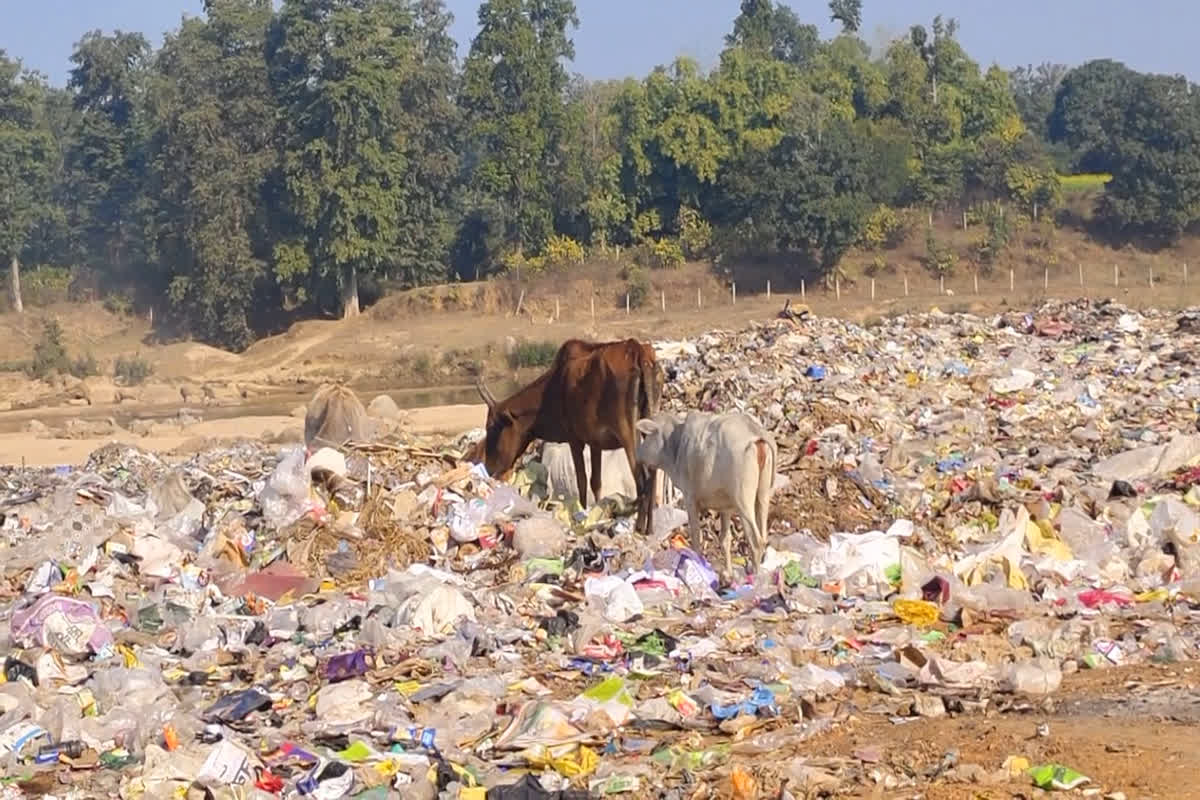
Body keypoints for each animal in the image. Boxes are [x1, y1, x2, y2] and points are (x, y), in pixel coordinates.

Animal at [470, 335, 667, 534]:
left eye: (492, 426)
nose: (489, 468)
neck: (552, 387)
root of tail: (638, 352)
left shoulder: (575, 440)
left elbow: (582, 480)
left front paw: (581, 516)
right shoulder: (595, 443)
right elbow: (596, 482)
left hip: (627, 432)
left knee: (642, 479)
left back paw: (639, 528)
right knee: (653, 475)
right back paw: (650, 528)